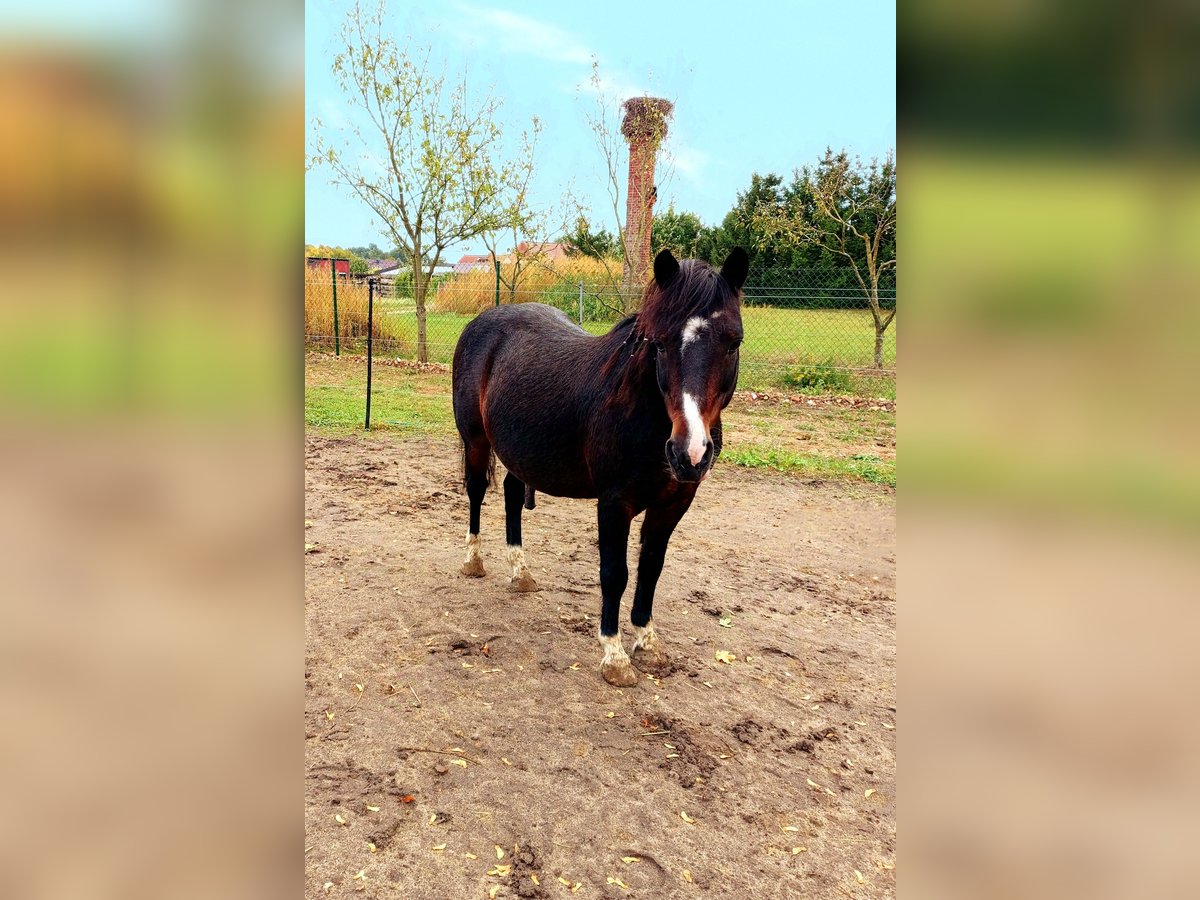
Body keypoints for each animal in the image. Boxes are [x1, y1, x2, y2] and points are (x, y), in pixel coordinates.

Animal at [451, 250, 744, 686]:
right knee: (475, 492)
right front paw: (615, 657)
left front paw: (647, 643)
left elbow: (650, 568)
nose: (689, 454)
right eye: (659, 344)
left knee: (511, 495)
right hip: (475, 442)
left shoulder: (674, 504)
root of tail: (482, 321)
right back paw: (473, 562)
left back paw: (521, 574)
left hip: (520, 452)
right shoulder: (614, 503)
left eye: (733, 342)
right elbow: (614, 573)